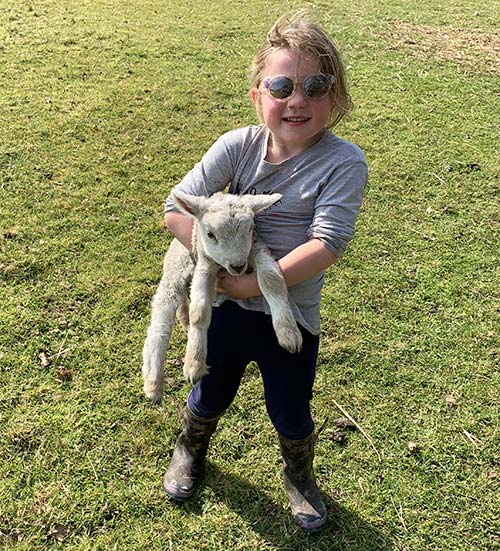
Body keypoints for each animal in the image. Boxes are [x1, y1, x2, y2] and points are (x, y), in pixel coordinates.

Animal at [143, 192, 302, 404]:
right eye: (210, 234)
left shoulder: (256, 247)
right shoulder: (205, 263)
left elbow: (271, 280)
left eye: (250, 228)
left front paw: (288, 334)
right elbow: (199, 311)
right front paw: (194, 364)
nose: (238, 266)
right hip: (175, 269)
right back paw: (153, 382)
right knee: (161, 317)